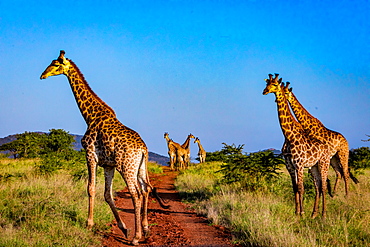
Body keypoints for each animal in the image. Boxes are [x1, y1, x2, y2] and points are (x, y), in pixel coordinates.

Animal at [40, 50, 168, 245]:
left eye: (55, 64)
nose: (42, 75)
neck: (90, 116)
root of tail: (143, 149)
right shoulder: (108, 165)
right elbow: (107, 194)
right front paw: (123, 228)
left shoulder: (90, 155)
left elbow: (91, 188)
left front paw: (89, 224)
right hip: (139, 167)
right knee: (145, 190)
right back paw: (145, 230)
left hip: (126, 167)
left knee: (136, 194)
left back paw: (136, 237)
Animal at [264, 73, 332, 218]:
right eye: (267, 84)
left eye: (274, 84)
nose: (264, 91)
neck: (289, 136)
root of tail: (327, 149)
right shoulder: (290, 165)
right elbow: (295, 187)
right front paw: (297, 212)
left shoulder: (300, 165)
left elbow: (301, 187)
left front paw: (301, 212)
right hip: (314, 167)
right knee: (318, 186)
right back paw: (314, 214)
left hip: (324, 163)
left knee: (323, 186)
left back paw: (323, 214)